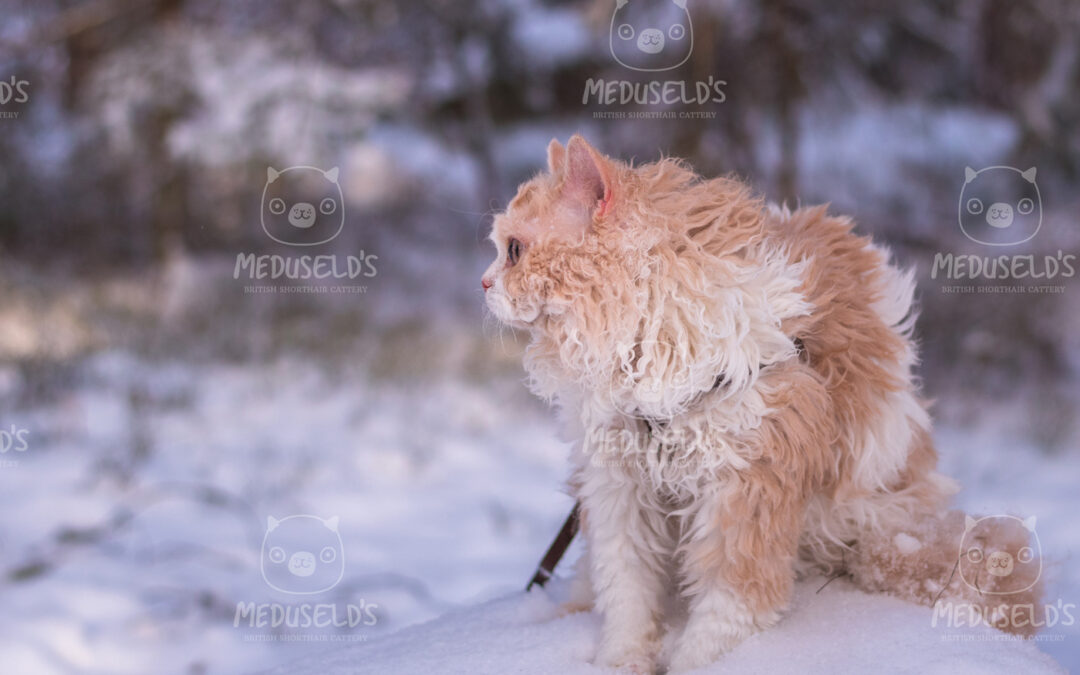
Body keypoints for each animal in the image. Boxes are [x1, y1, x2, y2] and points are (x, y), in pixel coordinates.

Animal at [481, 135, 1045, 669]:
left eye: (513, 250)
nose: (484, 283)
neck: (654, 344)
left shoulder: (748, 490)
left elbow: (727, 612)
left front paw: (695, 665)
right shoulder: (620, 491)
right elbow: (627, 594)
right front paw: (622, 663)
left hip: (876, 527)